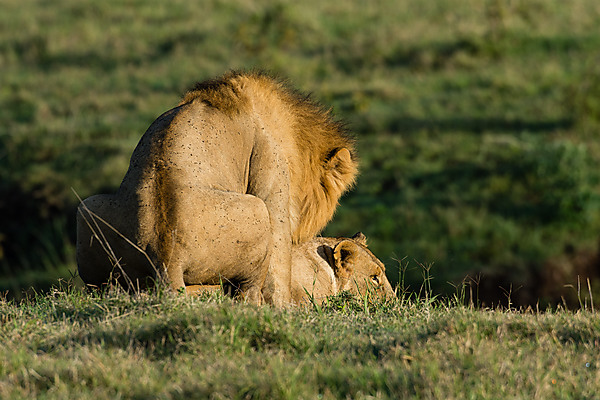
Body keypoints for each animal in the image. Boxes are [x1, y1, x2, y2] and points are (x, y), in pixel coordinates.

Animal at [75, 71, 356, 306]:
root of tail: (166, 255)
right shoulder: (272, 170)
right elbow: (278, 262)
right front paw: (284, 310)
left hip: (87, 208)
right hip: (257, 209)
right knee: (248, 291)